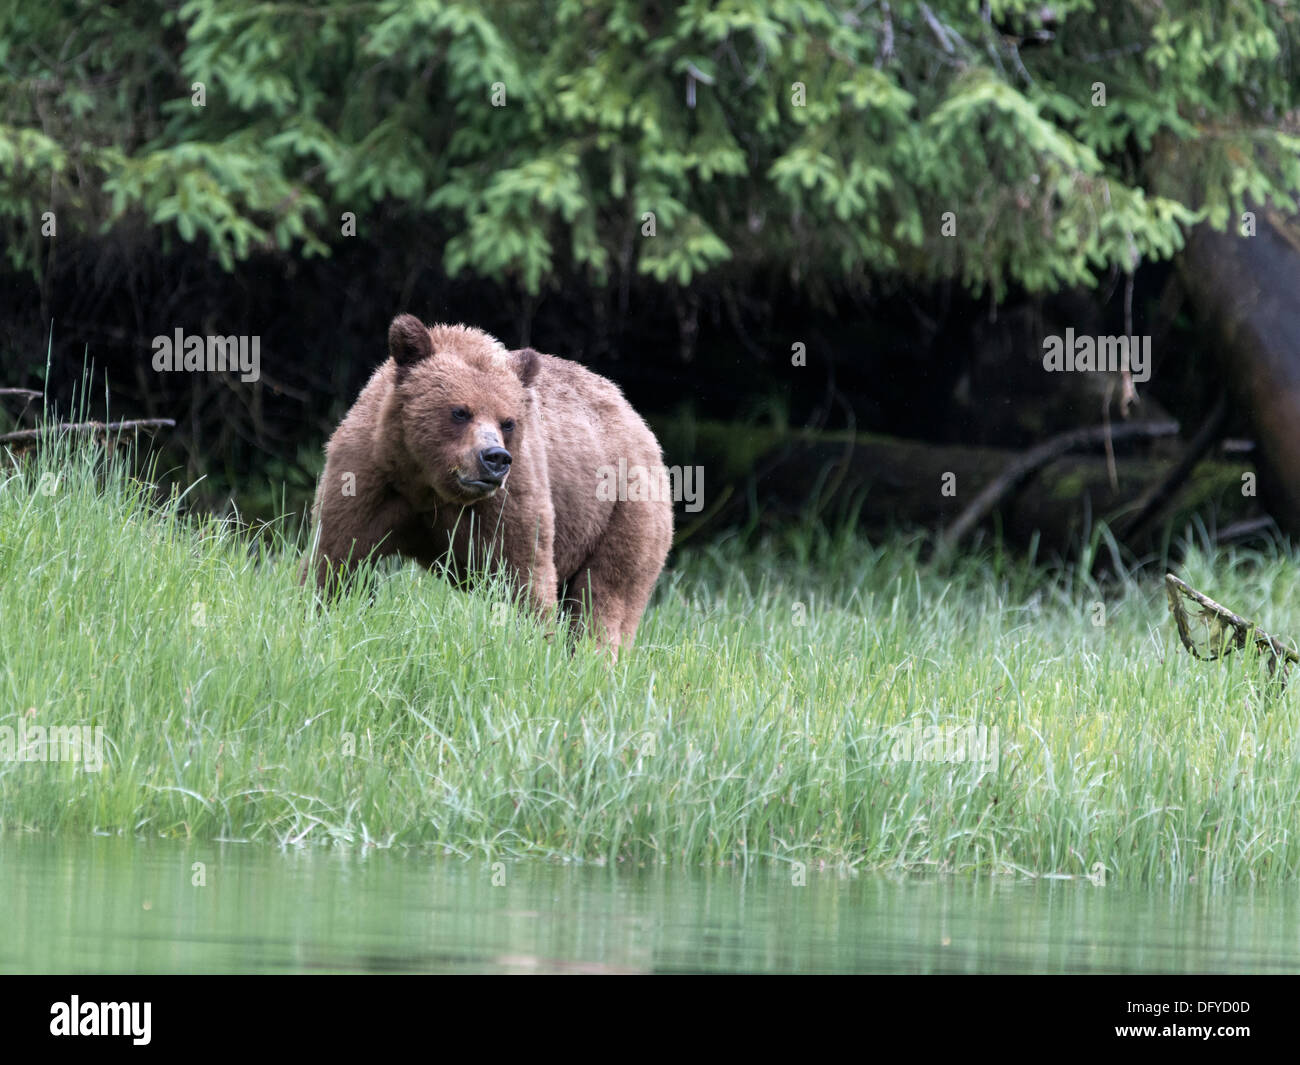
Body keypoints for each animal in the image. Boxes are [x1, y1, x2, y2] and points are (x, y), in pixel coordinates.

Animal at [302, 312, 670, 652]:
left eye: (508, 421)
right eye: (459, 411)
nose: (494, 458)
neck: (427, 484)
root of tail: (636, 418)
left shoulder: (510, 498)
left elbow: (526, 575)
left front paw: (533, 647)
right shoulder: (369, 475)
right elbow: (336, 557)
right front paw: (317, 619)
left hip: (623, 510)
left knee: (607, 596)